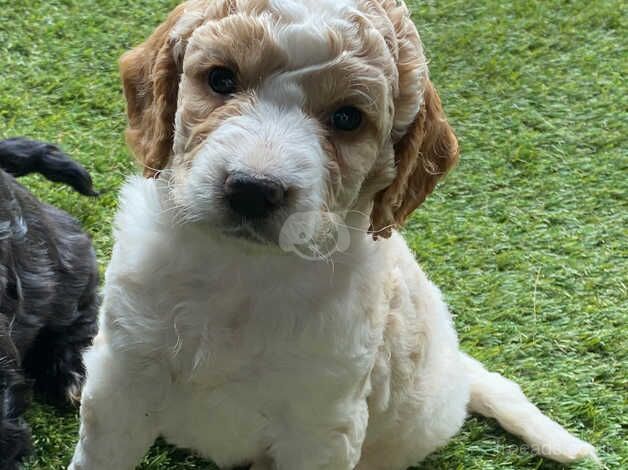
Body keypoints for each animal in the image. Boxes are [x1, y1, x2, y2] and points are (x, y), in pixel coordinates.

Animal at [68, 0, 600, 470]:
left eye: (347, 118)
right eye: (221, 79)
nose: (253, 190)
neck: (242, 269)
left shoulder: (321, 425)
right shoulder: (120, 377)